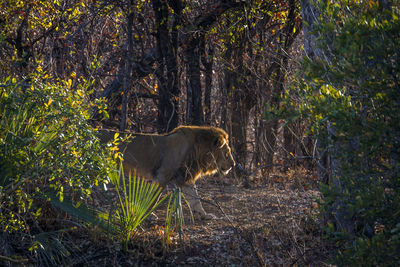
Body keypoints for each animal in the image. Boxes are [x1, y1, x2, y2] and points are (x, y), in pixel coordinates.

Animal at [98, 125, 234, 220]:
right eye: (227, 153)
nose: (233, 165)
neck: (198, 151)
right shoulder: (163, 175)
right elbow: (153, 197)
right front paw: (147, 214)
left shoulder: (185, 178)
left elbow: (195, 200)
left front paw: (204, 215)